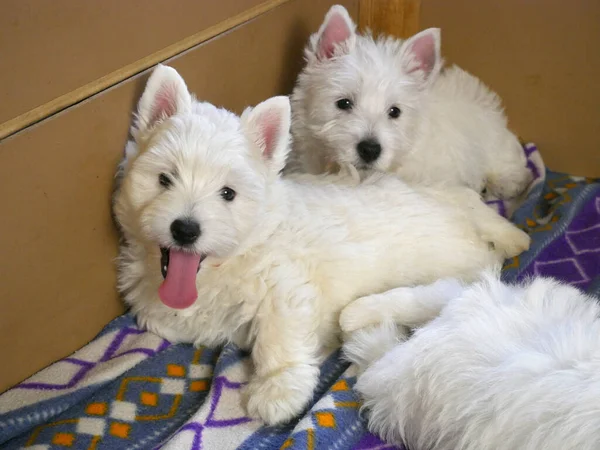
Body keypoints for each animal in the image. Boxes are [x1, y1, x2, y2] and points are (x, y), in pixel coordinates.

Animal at [112, 63, 528, 426]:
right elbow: (162, 318)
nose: (185, 230)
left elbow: (279, 335)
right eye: (164, 179)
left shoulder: (286, 287)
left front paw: (277, 390)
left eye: (228, 193)